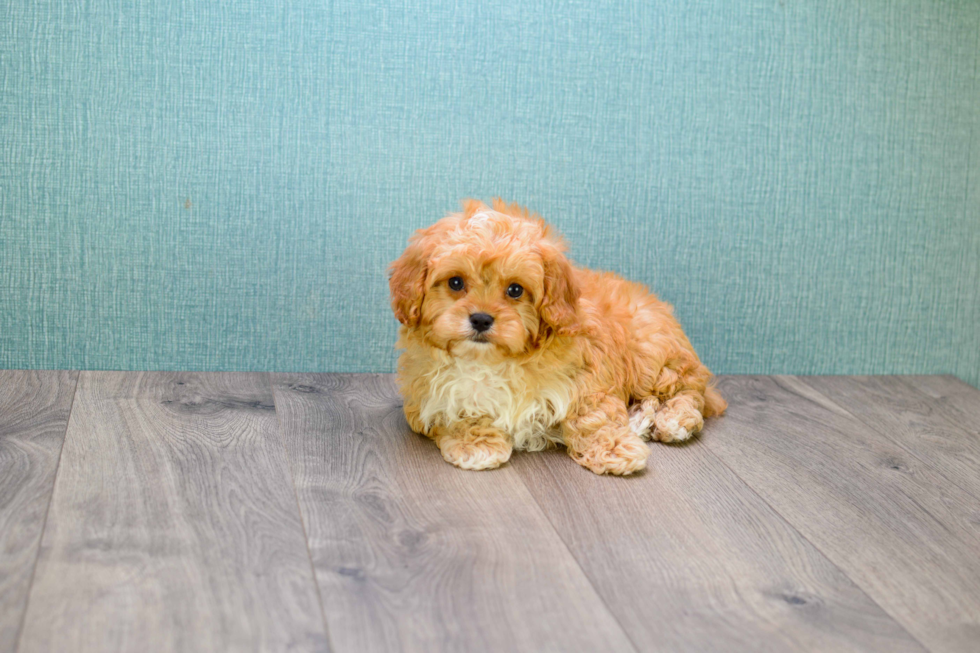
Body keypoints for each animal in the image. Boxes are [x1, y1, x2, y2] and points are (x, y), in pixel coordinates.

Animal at [386, 199, 724, 474]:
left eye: (515, 290)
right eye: (455, 283)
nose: (481, 319)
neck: (491, 362)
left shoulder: (586, 378)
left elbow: (592, 417)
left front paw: (614, 448)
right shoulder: (429, 395)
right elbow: (462, 413)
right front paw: (476, 444)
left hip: (649, 352)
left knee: (689, 387)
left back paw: (672, 419)